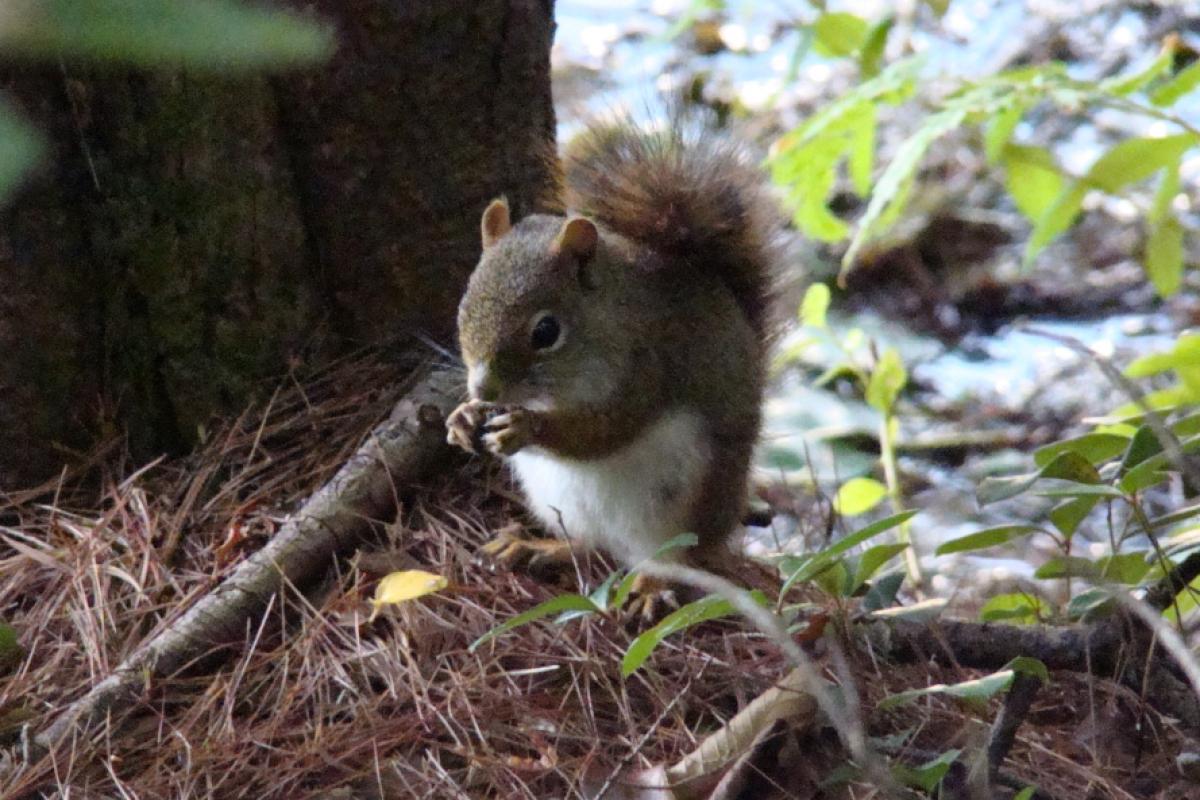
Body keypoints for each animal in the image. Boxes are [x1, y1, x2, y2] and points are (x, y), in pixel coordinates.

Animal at [446, 120, 783, 601]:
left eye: (545, 331)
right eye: (464, 307)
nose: (483, 389)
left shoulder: (647, 364)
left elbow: (605, 430)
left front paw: (526, 428)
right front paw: (463, 416)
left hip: (686, 504)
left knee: (678, 558)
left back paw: (652, 585)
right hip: (558, 502)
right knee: (588, 544)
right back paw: (538, 547)